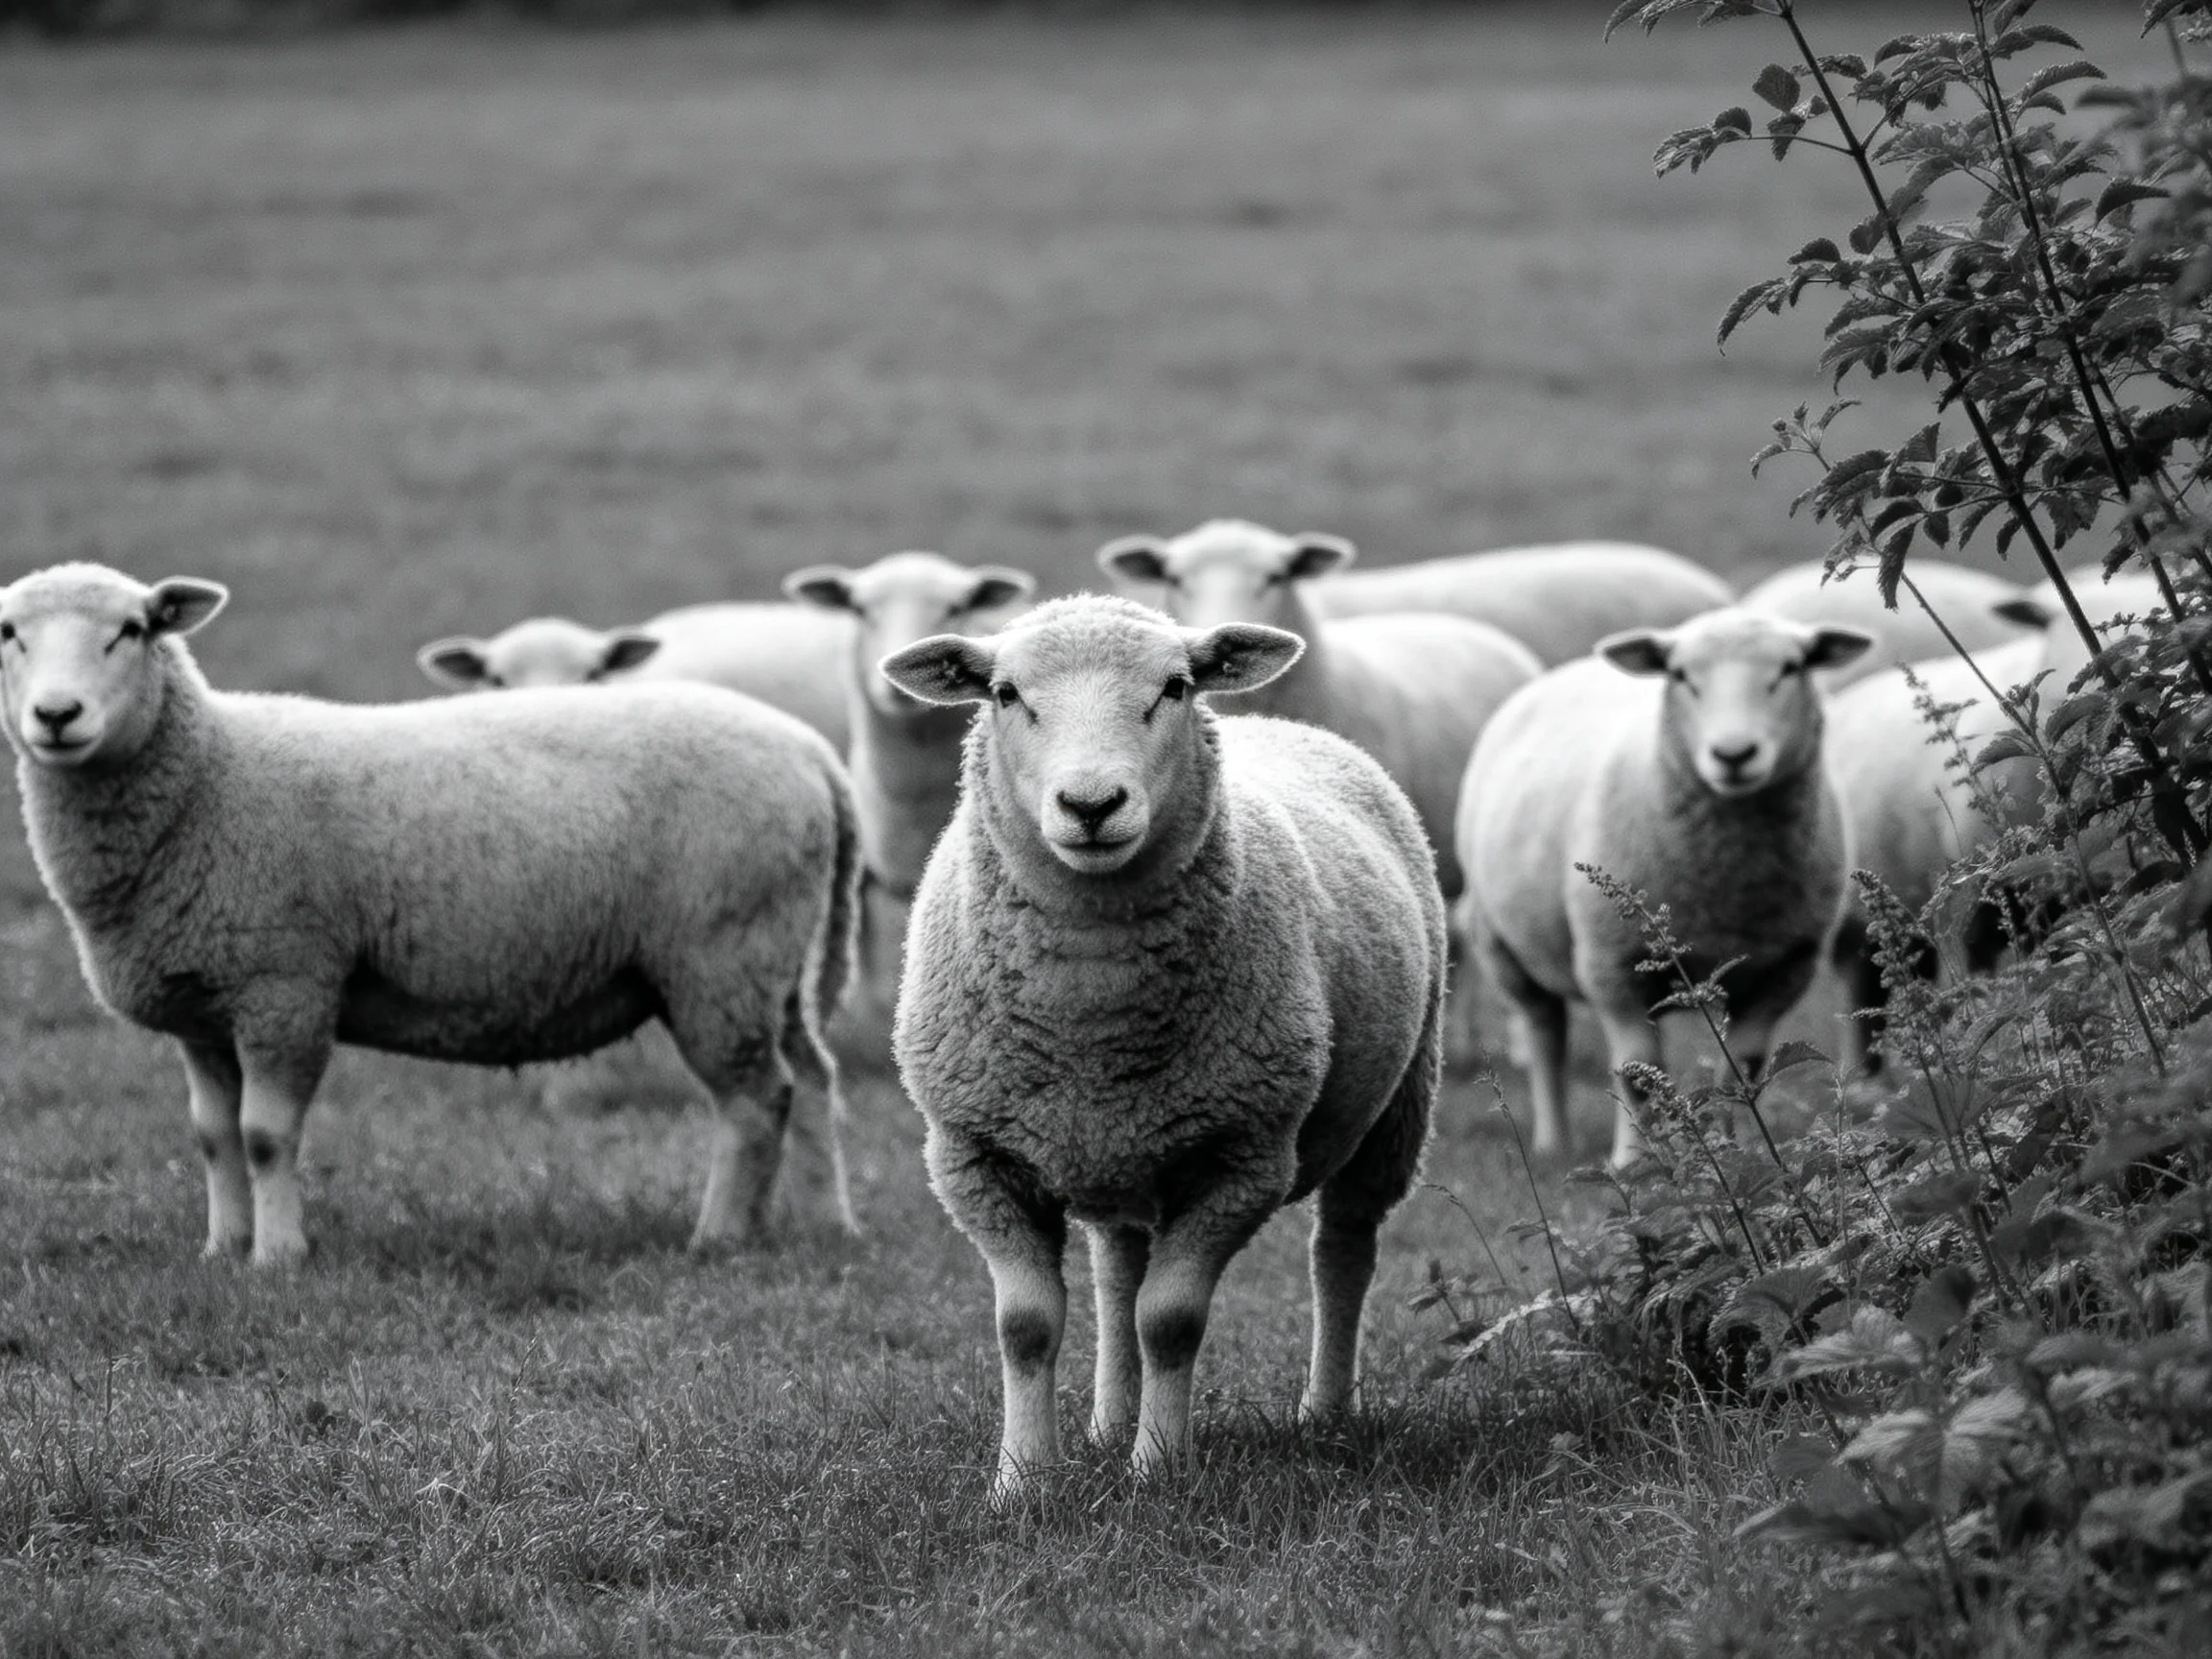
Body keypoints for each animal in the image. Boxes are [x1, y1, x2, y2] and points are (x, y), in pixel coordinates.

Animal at [882, 594, 1445, 1499]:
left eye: (1175, 687)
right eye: (1005, 694)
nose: (1090, 804)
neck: (1090, 1014)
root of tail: (1279, 720)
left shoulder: (1240, 1157)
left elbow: (1172, 1321)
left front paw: (1159, 1473)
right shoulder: (973, 1155)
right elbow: (1026, 1326)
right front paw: (1022, 1483)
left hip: (1398, 1105)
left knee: (1344, 1250)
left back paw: (1324, 1412)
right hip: (1115, 1148)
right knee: (1118, 1270)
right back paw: (1109, 1423)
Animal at [1458, 608, 1873, 1164]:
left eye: (1791, 667)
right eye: (1680, 675)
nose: (1734, 754)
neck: (1727, 883)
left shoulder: (1785, 969)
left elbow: (1742, 1072)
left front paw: (1742, 1153)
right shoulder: (1612, 965)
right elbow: (1638, 1076)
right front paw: (1636, 1163)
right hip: (1501, 943)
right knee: (1545, 1033)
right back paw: (1553, 1143)